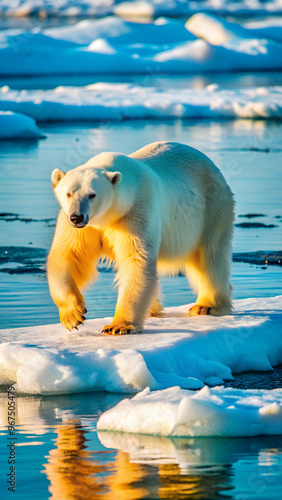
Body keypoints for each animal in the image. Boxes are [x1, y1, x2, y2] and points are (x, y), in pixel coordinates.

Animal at [48, 141, 234, 334]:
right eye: (69, 193)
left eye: (92, 195)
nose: (77, 217)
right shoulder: (83, 227)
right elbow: (68, 255)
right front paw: (72, 316)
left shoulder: (135, 211)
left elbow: (136, 259)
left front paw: (117, 326)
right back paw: (153, 310)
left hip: (211, 206)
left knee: (209, 255)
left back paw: (208, 306)